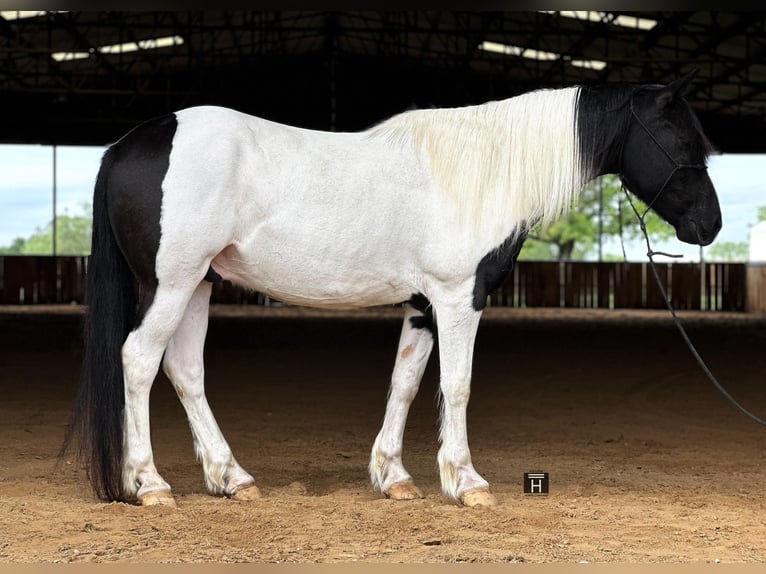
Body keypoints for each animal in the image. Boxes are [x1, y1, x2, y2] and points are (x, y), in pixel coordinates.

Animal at [58, 71, 720, 508]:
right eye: (681, 141)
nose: (708, 226)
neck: (479, 173)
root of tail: (130, 142)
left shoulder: (424, 306)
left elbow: (405, 383)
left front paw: (395, 478)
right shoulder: (458, 299)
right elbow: (457, 385)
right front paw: (467, 482)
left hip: (198, 285)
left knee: (185, 371)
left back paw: (233, 478)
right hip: (169, 284)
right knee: (138, 361)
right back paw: (150, 485)